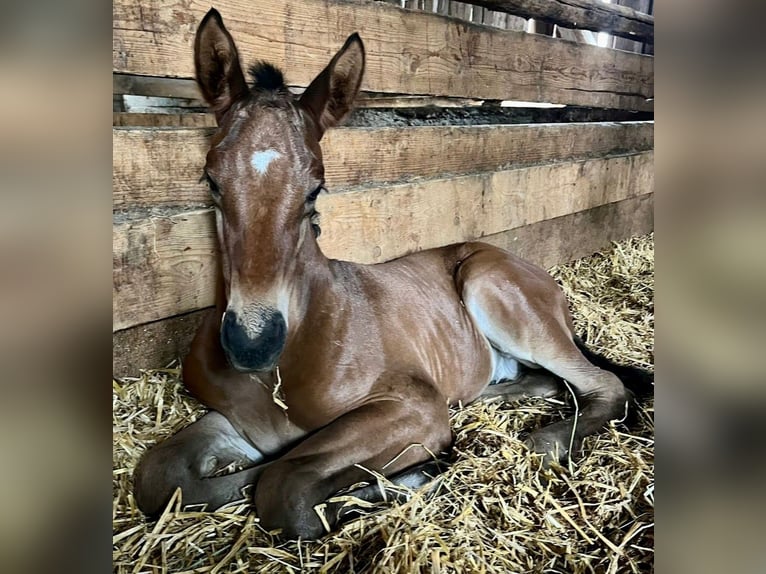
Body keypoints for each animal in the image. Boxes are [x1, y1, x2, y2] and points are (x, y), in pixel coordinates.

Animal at [134, 7, 656, 540]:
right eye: (211, 180)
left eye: (315, 189)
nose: (252, 343)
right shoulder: (235, 419)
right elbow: (163, 477)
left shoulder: (410, 405)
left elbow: (284, 486)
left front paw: (418, 473)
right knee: (544, 383)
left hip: (489, 287)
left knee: (602, 384)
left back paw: (541, 442)